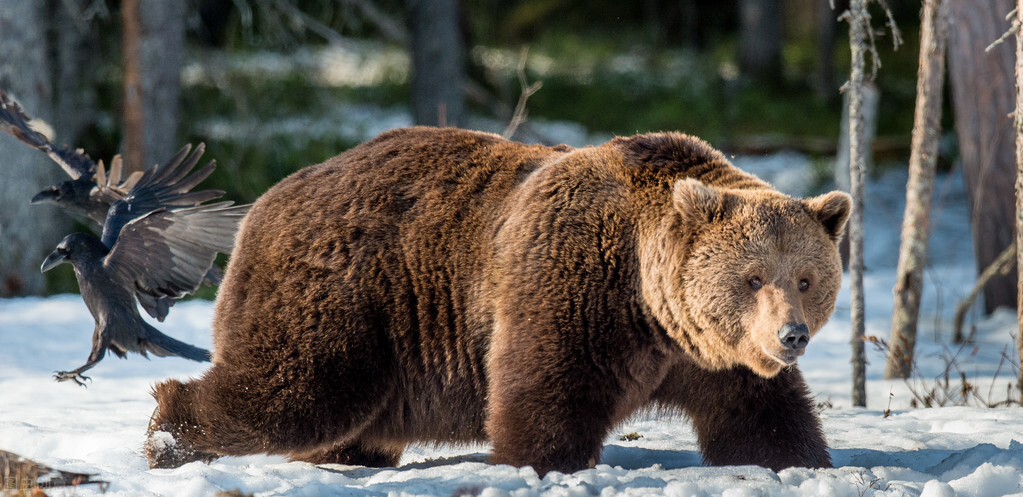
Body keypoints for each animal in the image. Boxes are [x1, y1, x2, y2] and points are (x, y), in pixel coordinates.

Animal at [144, 126, 847, 476]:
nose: (792, 335)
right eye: (753, 278)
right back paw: (167, 436)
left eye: (805, 279)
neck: (652, 309)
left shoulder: (713, 357)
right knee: (295, 390)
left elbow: (762, 417)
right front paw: (536, 465)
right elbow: (545, 395)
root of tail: (266, 201)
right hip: (343, 294)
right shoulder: (573, 286)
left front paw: (802, 464)